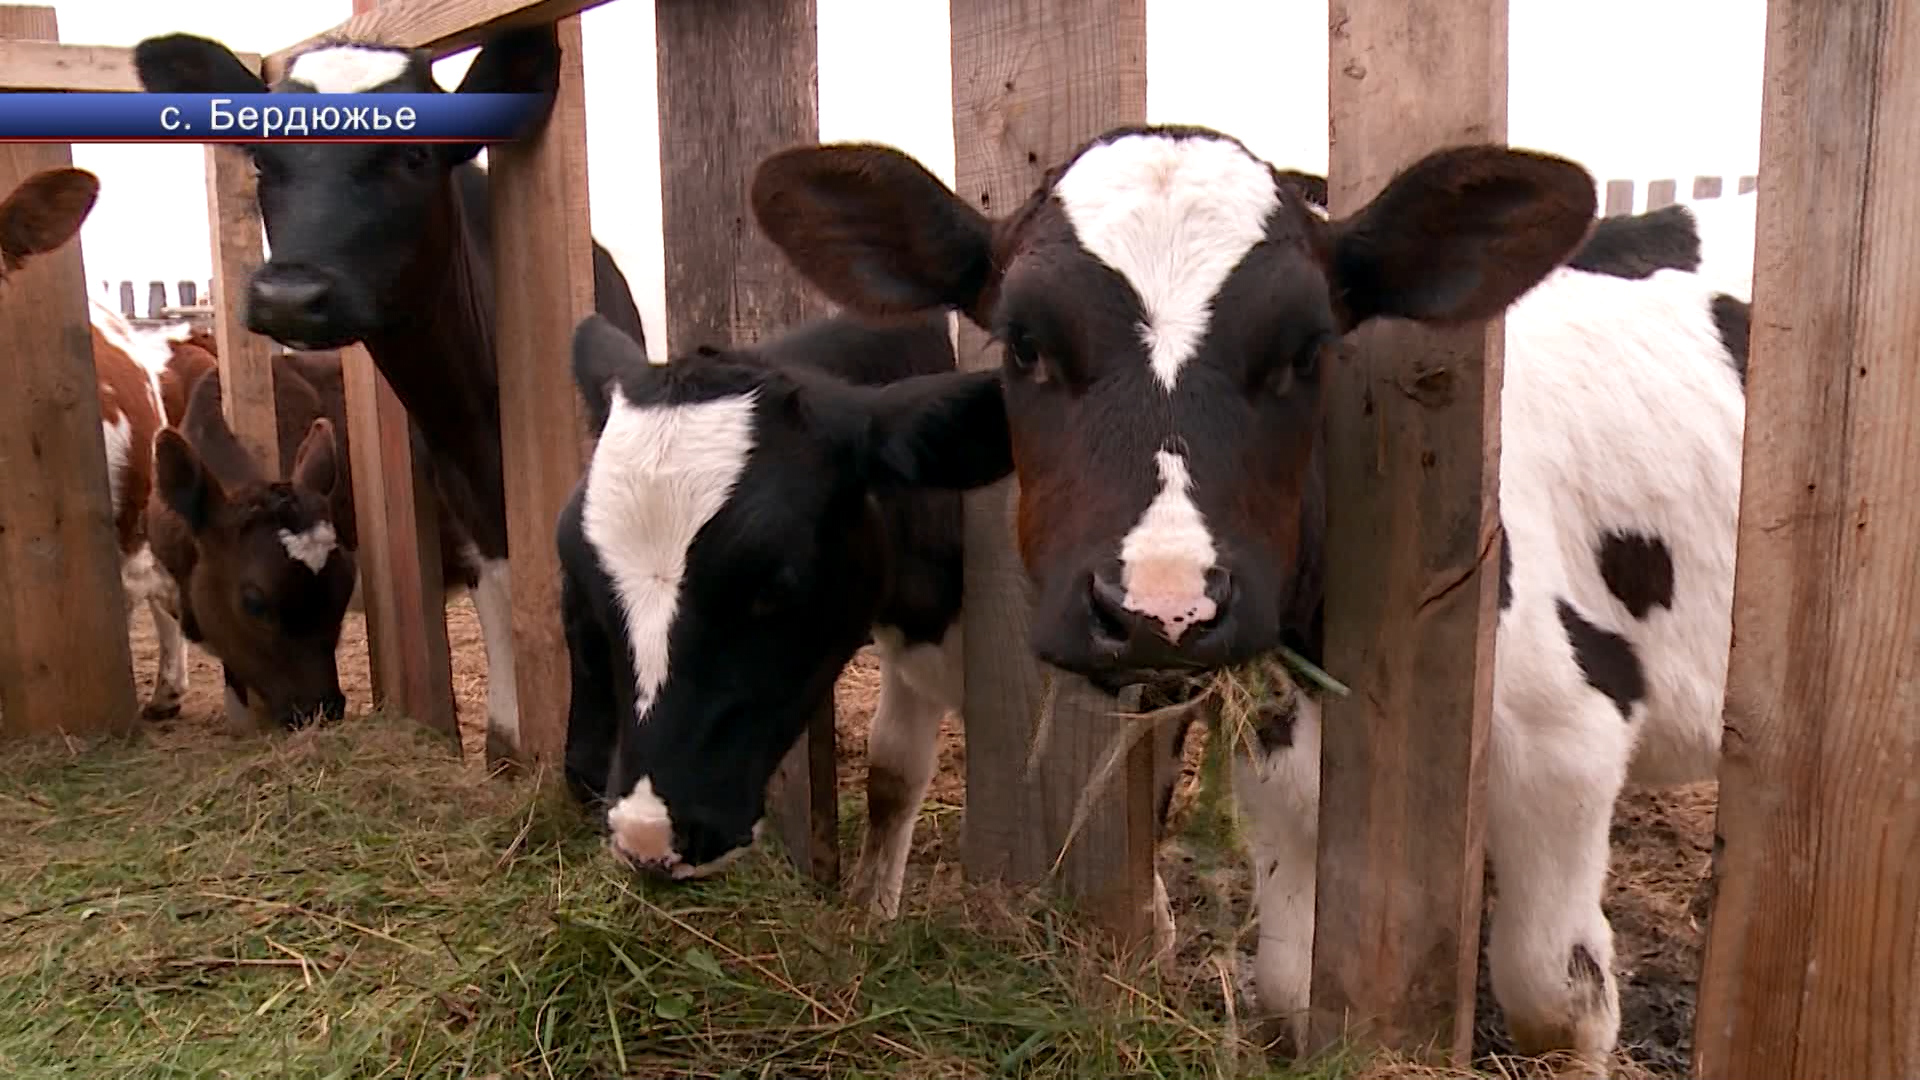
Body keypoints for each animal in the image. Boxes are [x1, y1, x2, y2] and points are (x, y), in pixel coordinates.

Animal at [744, 127, 1758, 1068]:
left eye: (1309, 349)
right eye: (1023, 343)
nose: (1160, 606)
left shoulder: (1566, 736)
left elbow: (1557, 1002)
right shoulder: (1269, 750)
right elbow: (1286, 987)